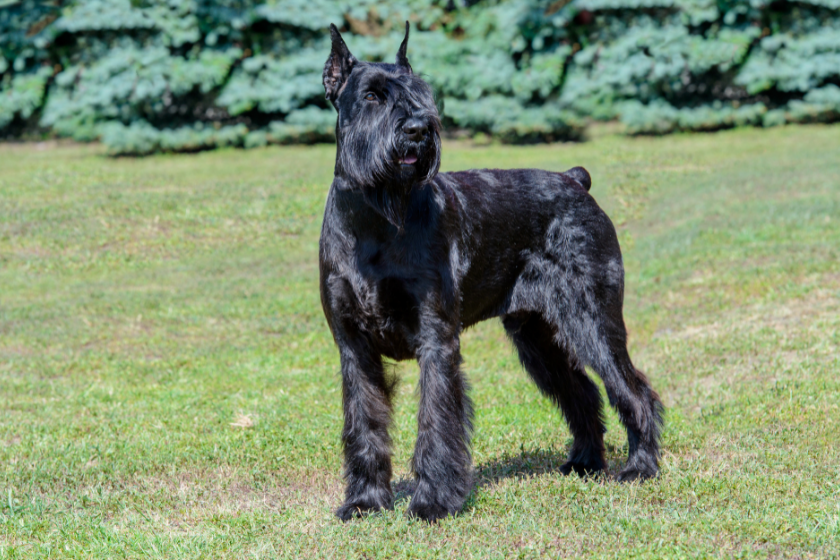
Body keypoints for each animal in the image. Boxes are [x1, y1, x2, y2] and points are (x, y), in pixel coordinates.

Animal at [318, 20, 660, 520]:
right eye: (372, 96)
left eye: (422, 93)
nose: (418, 129)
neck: (374, 221)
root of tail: (575, 180)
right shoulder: (354, 349)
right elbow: (364, 426)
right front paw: (364, 501)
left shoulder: (436, 340)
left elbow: (437, 423)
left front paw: (432, 503)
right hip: (536, 335)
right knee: (582, 392)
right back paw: (584, 462)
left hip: (593, 321)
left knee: (633, 390)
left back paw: (641, 466)